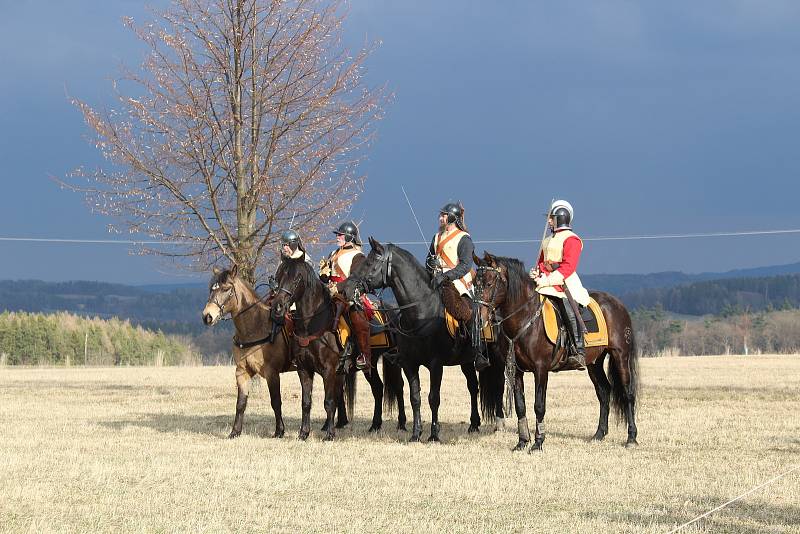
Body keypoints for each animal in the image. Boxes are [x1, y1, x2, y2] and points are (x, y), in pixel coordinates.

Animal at [340, 239, 504, 444]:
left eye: (369, 263)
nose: (345, 288)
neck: (420, 314)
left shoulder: (436, 364)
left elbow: (434, 398)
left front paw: (434, 434)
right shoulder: (409, 364)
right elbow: (415, 397)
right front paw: (415, 433)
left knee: (498, 387)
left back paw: (498, 423)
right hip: (466, 362)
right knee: (473, 387)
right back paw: (474, 424)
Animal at [476, 254, 636, 452]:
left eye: (489, 283)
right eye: (475, 283)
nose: (479, 318)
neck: (525, 318)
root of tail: (618, 303)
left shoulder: (541, 369)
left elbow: (539, 405)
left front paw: (538, 442)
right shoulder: (517, 371)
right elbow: (520, 405)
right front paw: (522, 442)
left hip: (621, 355)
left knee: (628, 393)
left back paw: (631, 438)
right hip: (594, 363)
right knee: (604, 392)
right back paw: (599, 434)